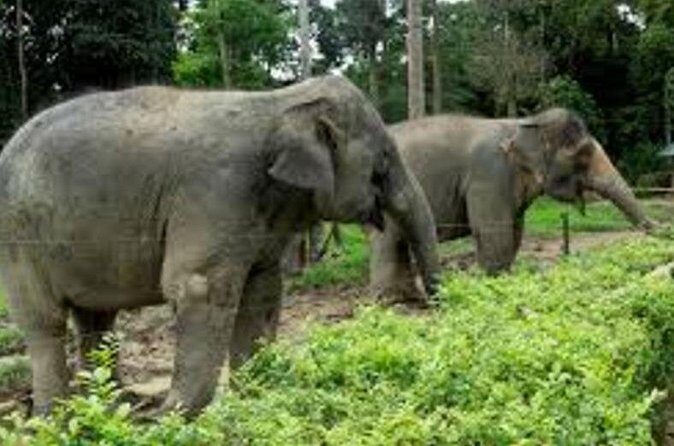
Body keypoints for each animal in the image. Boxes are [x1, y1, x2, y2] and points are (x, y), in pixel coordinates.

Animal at [0, 75, 439, 417]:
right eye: (384, 160)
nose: (431, 306)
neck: (280, 104)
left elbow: (262, 292)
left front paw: (257, 397)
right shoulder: (215, 193)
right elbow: (200, 289)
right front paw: (174, 419)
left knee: (96, 321)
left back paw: (111, 407)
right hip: (19, 239)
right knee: (45, 323)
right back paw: (55, 416)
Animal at [370, 108, 654, 300]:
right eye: (582, 156)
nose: (657, 234)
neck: (523, 123)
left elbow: (515, 232)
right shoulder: (489, 173)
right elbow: (494, 232)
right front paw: (493, 288)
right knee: (389, 240)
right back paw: (395, 301)